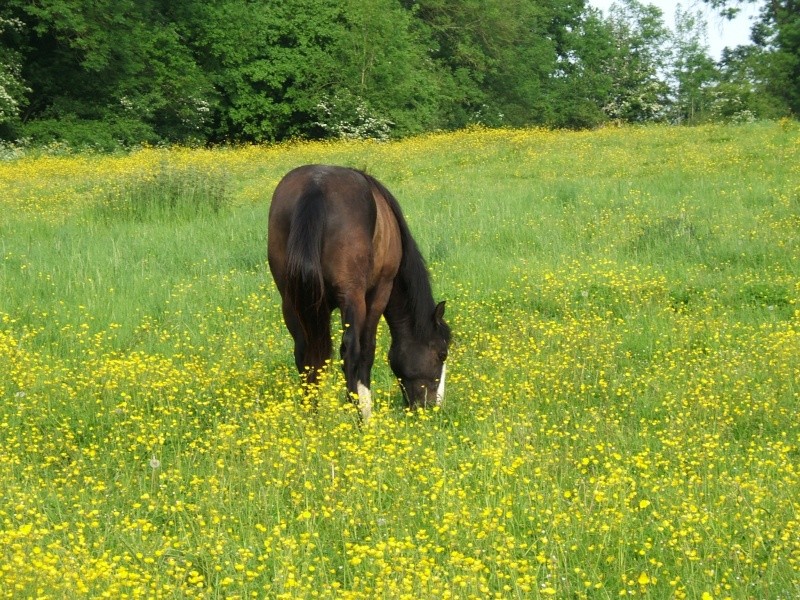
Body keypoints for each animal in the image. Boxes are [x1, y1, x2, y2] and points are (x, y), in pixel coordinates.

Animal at [268, 162, 450, 420]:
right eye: (441, 354)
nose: (433, 407)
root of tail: (314, 187)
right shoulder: (379, 292)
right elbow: (366, 349)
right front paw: (365, 408)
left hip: (292, 301)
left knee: (304, 352)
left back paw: (311, 417)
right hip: (352, 297)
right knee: (350, 350)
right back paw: (360, 417)